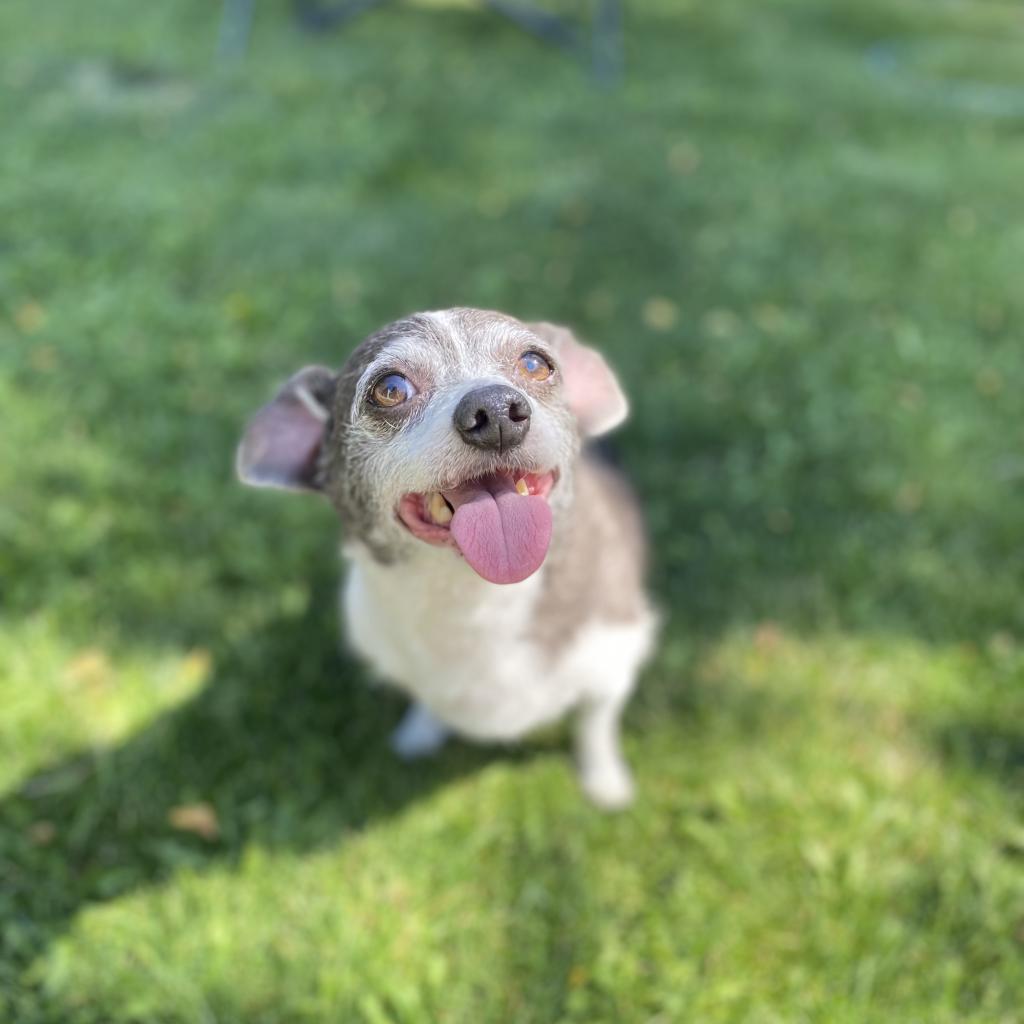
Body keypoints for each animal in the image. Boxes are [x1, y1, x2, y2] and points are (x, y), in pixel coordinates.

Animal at [235, 307, 655, 802]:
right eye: (390, 388)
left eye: (536, 364)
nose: (495, 409)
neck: (474, 600)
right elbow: (427, 698)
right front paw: (420, 733)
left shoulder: (614, 663)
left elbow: (595, 725)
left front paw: (604, 779)